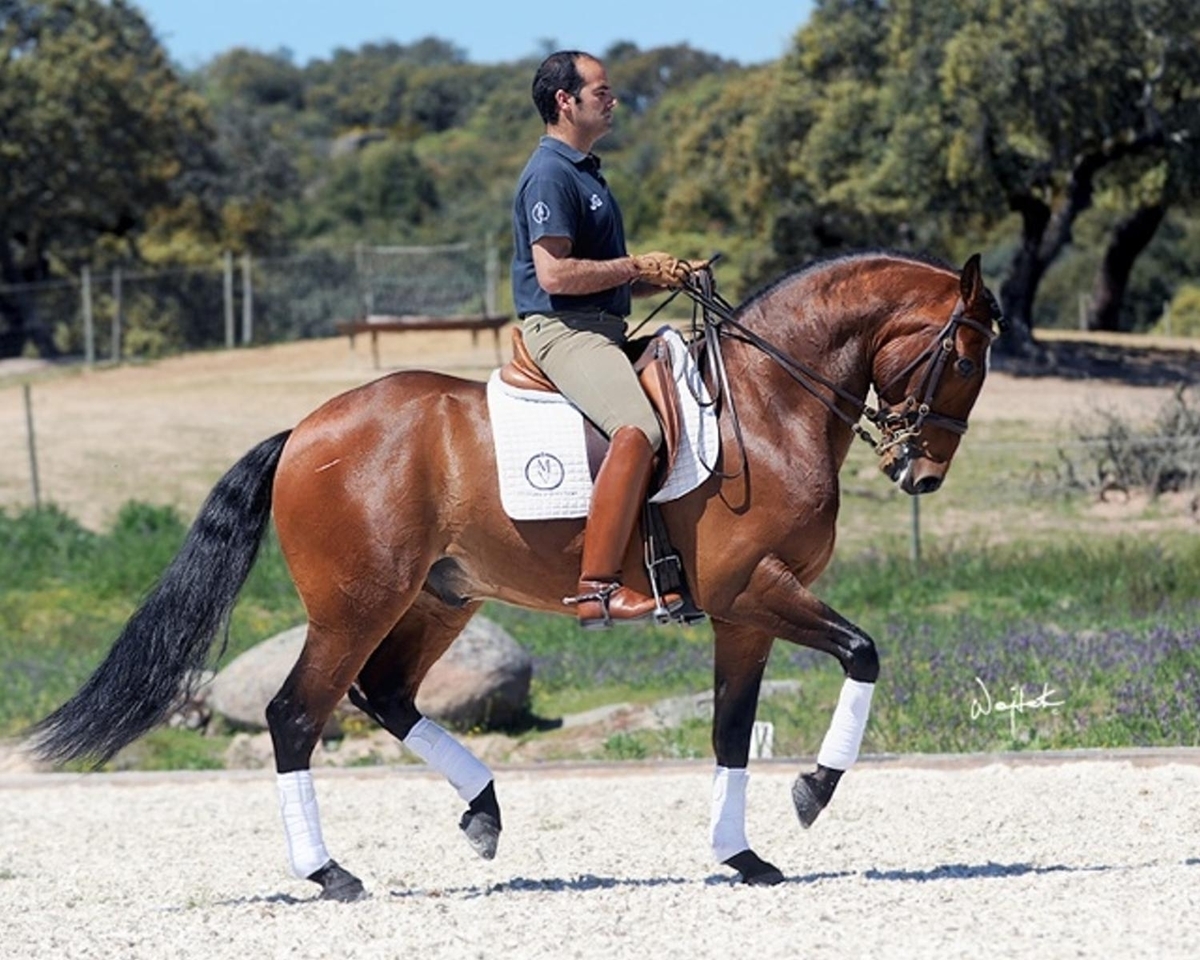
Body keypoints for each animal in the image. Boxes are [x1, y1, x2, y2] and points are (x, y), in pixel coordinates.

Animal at [28, 250, 1003, 897]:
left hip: (440, 599)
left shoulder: (743, 615)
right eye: (963, 358)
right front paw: (811, 793)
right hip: (357, 604)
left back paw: (484, 811)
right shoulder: (752, 590)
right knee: (297, 714)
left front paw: (743, 855)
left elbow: (732, 731)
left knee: (386, 696)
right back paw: (331, 872)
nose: (921, 474)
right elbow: (863, 652)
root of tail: (305, 430)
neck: (769, 405)